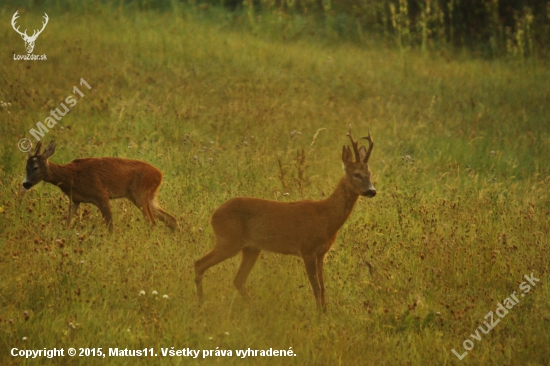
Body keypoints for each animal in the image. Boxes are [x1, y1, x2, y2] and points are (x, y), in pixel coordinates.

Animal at [22, 140, 178, 232]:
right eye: (26, 167)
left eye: (35, 167)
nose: (25, 183)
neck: (69, 177)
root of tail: (160, 175)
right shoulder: (75, 200)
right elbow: (68, 222)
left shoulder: (101, 195)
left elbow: (110, 226)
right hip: (149, 197)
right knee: (171, 219)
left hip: (140, 194)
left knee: (152, 222)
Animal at [196, 126, 378, 312]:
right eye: (356, 174)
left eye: (370, 173)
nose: (372, 191)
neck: (326, 218)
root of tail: (213, 215)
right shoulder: (307, 249)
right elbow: (316, 287)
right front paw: (319, 314)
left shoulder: (322, 253)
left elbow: (323, 287)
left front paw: (325, 312)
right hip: (228, 240)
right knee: (199, 264)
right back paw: (200, 303)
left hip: (251, 248)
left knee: (237, 280)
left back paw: (255, 308)